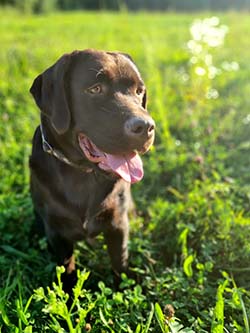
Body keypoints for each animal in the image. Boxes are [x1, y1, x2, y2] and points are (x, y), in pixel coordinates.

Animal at [28, 48, 154, 288]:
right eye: (95, 89)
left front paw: (122, 289)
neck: (82, 174)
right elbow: (67, 268)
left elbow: (120, 260)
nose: (146, 127)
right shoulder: (56, 231)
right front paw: (68, 296)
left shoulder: (118, 223)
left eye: (139, 91)